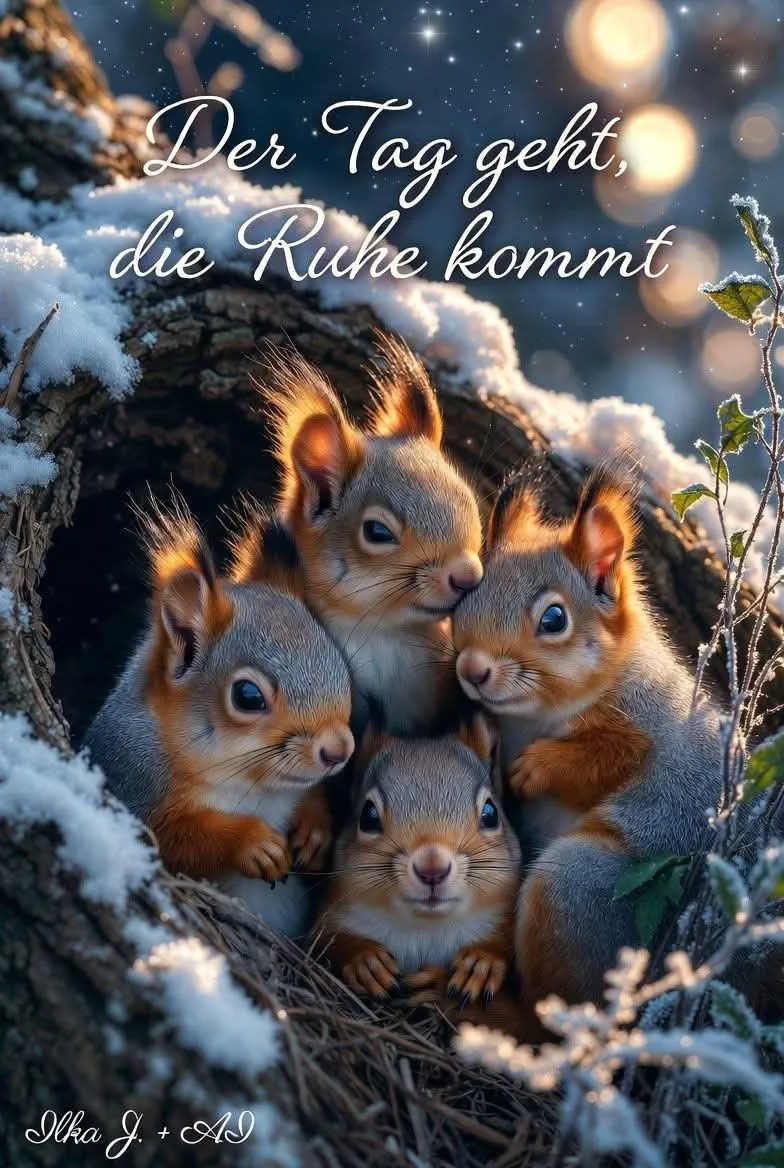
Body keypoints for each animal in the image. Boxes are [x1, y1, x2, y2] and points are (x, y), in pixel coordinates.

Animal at [83, 496, 354, 937]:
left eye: (338, 658)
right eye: (247, 696)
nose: (339, 750)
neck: (252, 787)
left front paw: (314, 829)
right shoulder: (131, 785)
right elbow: (174, 841)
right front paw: (252, 843)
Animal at [314, 714, 522, 1002]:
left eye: (491, 814)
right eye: (368, 816)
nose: (432, 868)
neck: (425, 928)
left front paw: (481, 960)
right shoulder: (331, 915)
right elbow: (327, 940)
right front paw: (365, 959)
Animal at [451, 464, 730, 1012]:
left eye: (554, 619)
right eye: (467, 594)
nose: (472, 668)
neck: (535, 718)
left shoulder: (646, 726)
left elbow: (608, 760)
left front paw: (536, 768)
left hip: (576, 886)